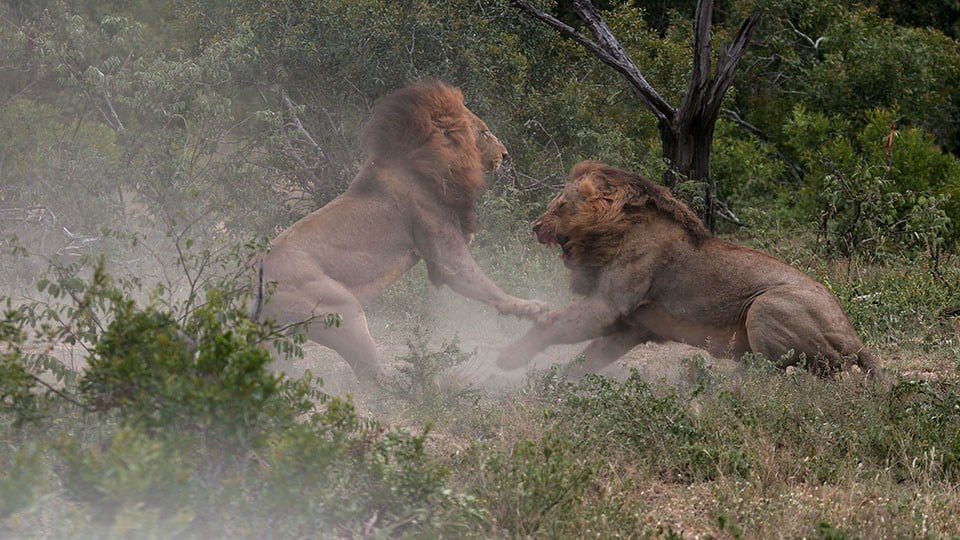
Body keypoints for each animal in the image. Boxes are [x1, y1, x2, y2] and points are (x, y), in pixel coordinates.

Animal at [253, 80, 547, 382]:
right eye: (485, 131)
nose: (505, 154)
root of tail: (257, 278)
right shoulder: (445, 255)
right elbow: (485, 285)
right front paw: (533, 309)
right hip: (342, 310)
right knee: (372, 377)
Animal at [497, 160, 880, 379]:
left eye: (560, 205)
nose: (534, 226)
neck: (615, 230)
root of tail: (855, 337)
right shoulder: (632, 326)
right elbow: (584, 361)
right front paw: (549, 384)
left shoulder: (608, 305)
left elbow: (551, 326)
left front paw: (508, 359)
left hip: (765, 305)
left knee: (788, 372)